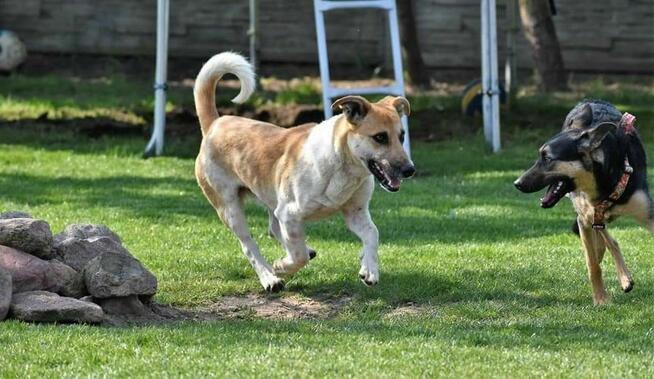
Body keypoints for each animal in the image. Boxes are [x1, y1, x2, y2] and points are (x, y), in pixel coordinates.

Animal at [192, 52, 416, 292]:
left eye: (402, 136)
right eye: (380, 137)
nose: (410, 170)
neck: (341, 165)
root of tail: (215, 124)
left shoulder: (355, 212)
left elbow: (372, 233)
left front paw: (369, 269)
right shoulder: (289, 213)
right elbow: (298, 256)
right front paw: (281, 267)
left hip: (271, 197)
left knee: (273, 229)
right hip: (230, 208)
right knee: (249, 244)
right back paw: (269, 277)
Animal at [516, 101, 654, 306]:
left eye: (547, 158)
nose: (517, 183)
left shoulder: (646, 212)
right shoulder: (585, 218)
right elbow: (593, 264)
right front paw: (601, 299)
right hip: (587, 215)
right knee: (605, 241)